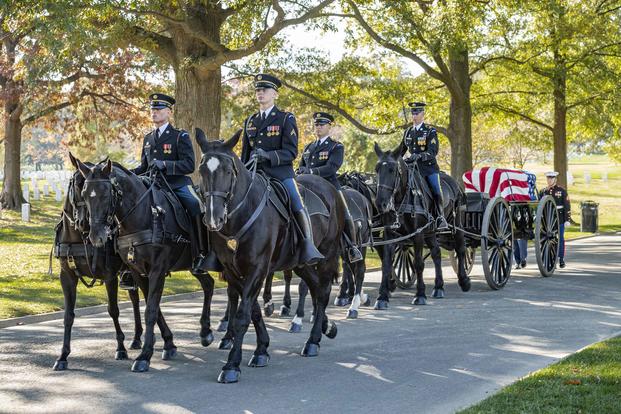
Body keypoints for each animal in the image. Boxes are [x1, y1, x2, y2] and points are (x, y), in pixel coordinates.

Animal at [52, 160, 144, 370]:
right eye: (79, 188)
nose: (84, 224)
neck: (78, 239)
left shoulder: (110, 276)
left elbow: (113, 310)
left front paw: (120, 348)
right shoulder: (66, 277)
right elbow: (68, 316)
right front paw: (63, 355)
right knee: (135, 299)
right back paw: (136, 338)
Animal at [74, 158, 216, 372]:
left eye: (106, 193)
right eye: (84, 194)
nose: (95, 236)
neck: (143, 215)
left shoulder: (158, 269)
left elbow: (150, 310)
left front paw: (144, 356)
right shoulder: (138, 271)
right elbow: (153, 307)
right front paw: (168, 344)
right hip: (194, 267)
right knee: (209, 284)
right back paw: (206, 331)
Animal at [195, 130, 342, 384]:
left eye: (227, 170)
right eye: (202, 169)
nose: (214, 218)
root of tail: (331, 189)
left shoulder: (258, 268)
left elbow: (243, 315)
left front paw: (232, 365)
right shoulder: (232, 270)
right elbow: (252, 310)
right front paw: (261, 349)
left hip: (328, 256)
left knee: (322, 292)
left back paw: (313, 341)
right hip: (300, 262)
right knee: (315, 288)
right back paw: (326, 327)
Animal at [372, 142, 470, 304]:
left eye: (392, 170)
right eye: (377, 169)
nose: (381, 203)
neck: (403, 197)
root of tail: (455, 184)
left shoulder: (417, 234)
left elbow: (418, 263)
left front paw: (420, 294)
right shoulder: (390, 235)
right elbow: (386, 263)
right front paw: (382, 296)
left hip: (457, 226)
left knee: (461, 249)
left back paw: (464, 281)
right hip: (430, 232)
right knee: (436, 253)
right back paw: (438, 287)